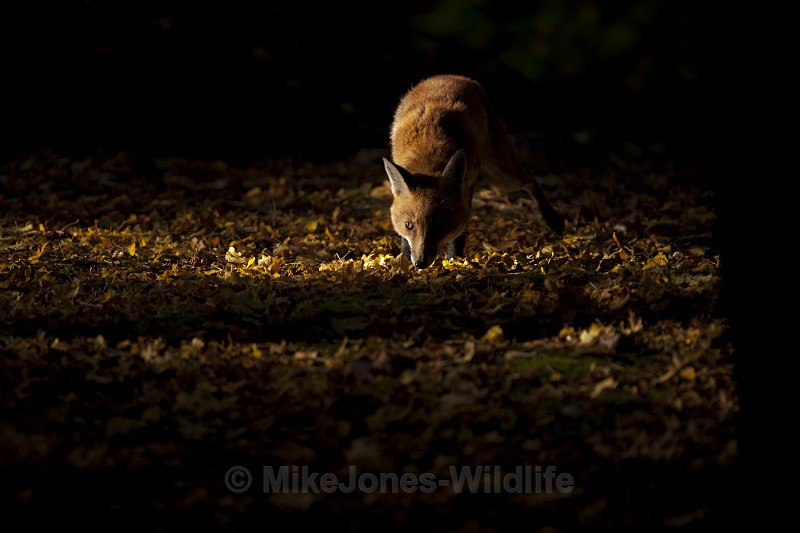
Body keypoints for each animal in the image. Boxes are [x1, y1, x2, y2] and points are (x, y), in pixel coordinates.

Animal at [382, 74, 565, 269]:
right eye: (409, 225)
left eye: (438, 223)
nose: (420, 263)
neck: (428, 149)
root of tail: (452, 76)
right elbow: (405, 240)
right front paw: (404, 258)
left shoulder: (468, 185)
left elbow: (460, 232)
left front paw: (455, 260)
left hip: (502, 176)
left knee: (531, 178)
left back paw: (553, 219)